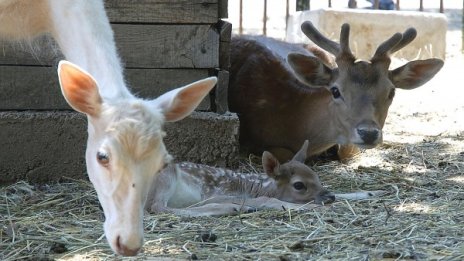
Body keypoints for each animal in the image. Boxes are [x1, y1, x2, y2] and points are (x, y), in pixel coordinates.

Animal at [230, 21, 444, 161]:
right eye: (335, 91)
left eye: (391, 92)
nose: (368, 133)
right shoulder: (249, 139)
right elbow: (286, 154)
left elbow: (346, 150)